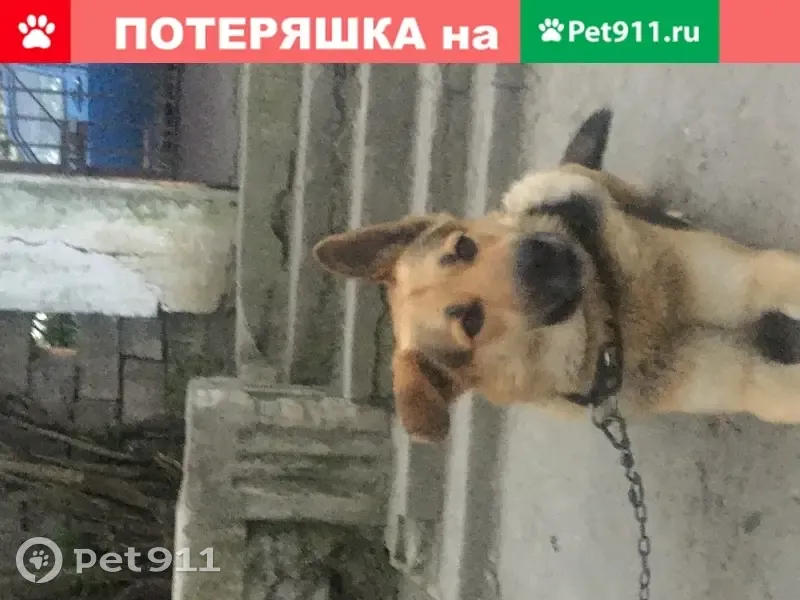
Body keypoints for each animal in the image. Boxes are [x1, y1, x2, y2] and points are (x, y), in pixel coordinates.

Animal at [313, 109, 800, 443]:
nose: (540, 256)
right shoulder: (746, 379)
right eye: (471, 321)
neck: (616, 319)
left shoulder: (752, 279)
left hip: (566, 185)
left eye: (463, 248)